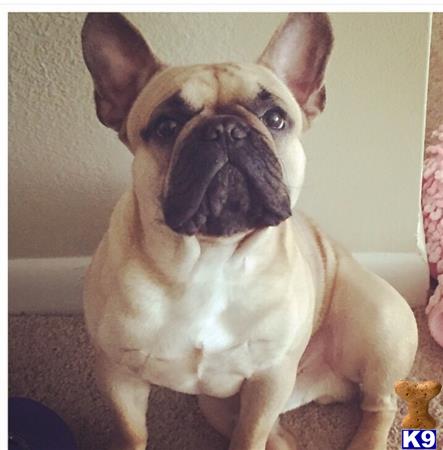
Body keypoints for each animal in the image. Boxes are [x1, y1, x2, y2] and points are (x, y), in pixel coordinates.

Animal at [81, 12, 418, 448]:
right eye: (166, 125)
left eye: (275, 118)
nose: (225, 129)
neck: (210, 257)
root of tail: (325, 387)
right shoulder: (118, 375)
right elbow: (133, 431)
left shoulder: (268, 379)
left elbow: (250, 434)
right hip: (220, 404)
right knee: (271, 429)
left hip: (380, 326)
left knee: (380, 404)